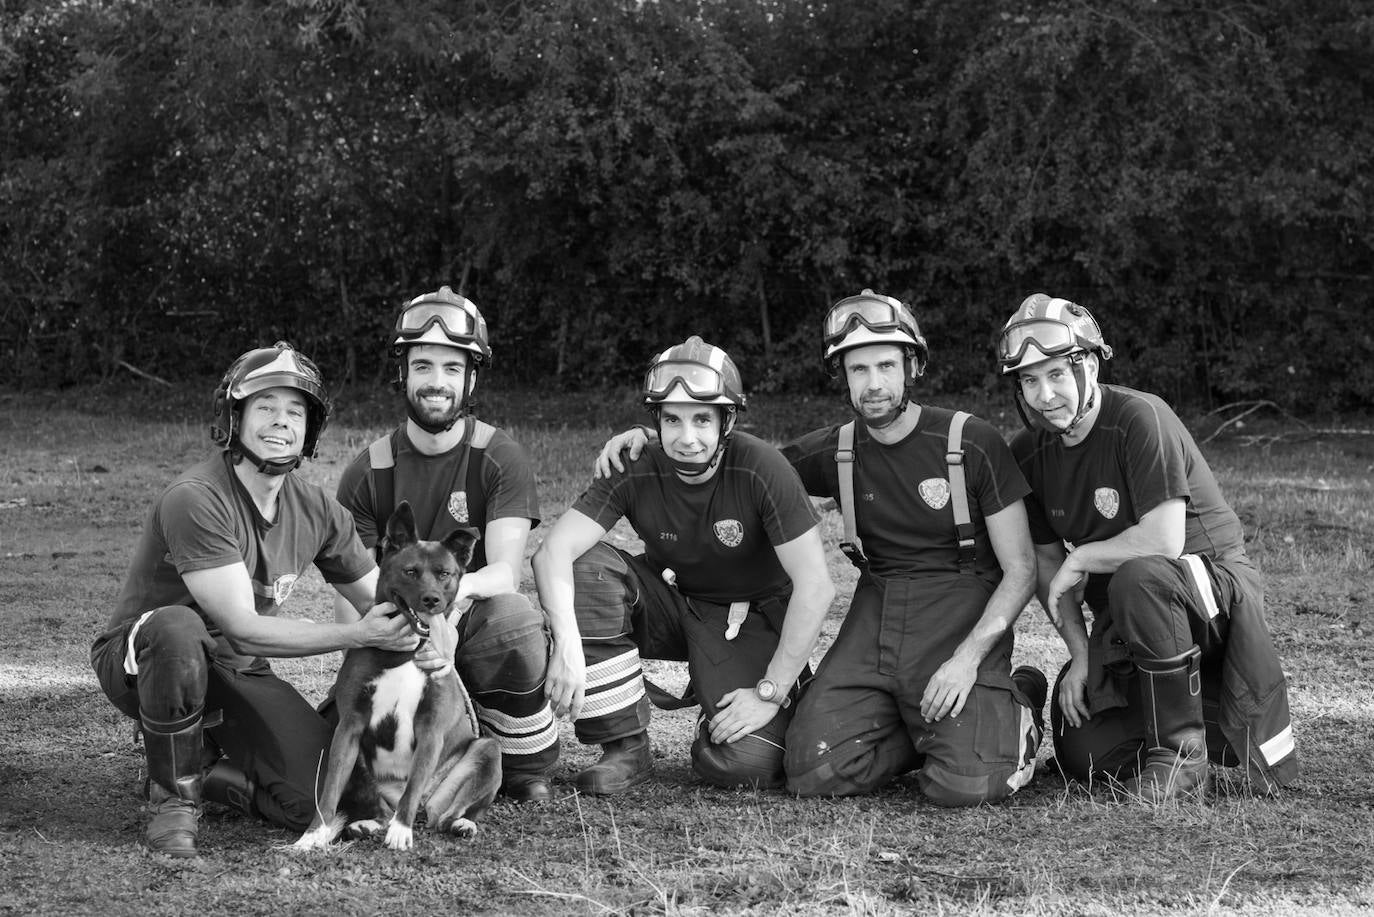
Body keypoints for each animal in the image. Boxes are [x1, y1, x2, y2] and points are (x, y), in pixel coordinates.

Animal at [295, 503, 505, 852]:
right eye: (410, 572)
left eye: (444, 574)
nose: (432, 599)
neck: (403, 654)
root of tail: (427, 807)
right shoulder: (349, 726)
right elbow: (329, 790)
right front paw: (313, 835)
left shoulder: (431, 728)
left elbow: (414, 784)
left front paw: (401, 832)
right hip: (357, 762)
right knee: (382, 811)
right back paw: (366, 825)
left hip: (486, 752)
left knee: (444, 814)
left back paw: (459, 823)